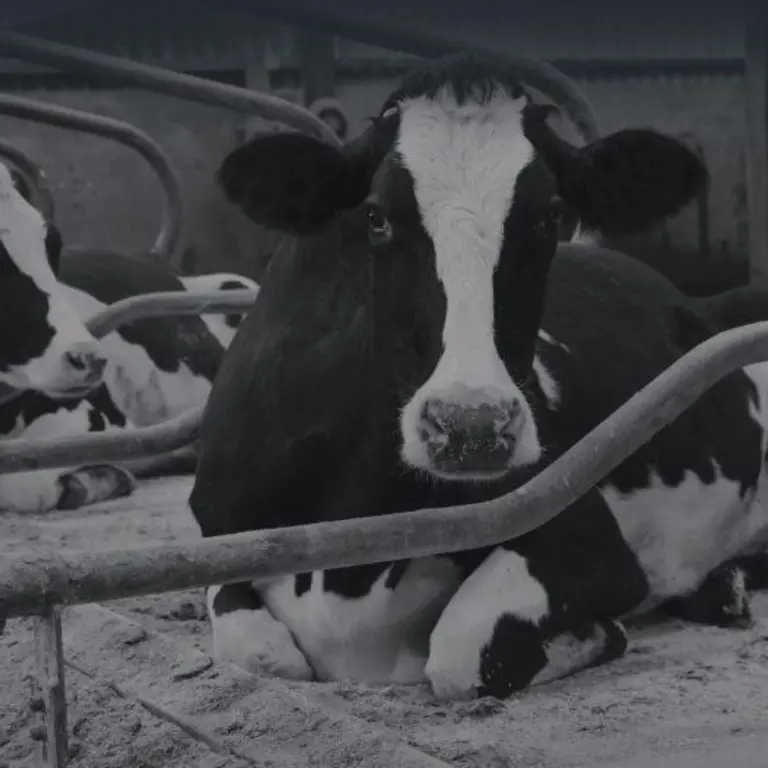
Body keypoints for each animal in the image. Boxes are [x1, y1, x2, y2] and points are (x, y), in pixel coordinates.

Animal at [188, 51, 768, 701]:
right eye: (375, 217)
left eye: (549, 216)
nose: (472, 426)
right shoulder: (218, 534)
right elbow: (264, 652)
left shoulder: (589, 540)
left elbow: (462, 648)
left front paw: (597, 636)